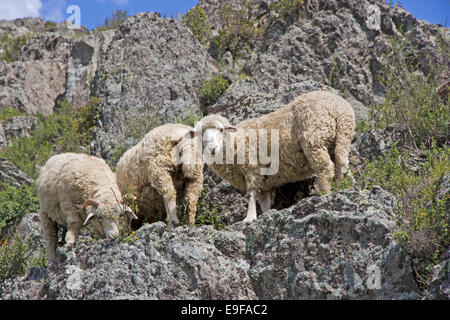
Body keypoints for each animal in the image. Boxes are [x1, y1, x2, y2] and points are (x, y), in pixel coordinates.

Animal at [192, 89, 356, 221]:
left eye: (221, 130)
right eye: (200, 133)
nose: (212, 149)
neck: (235, 142)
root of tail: (339, 108)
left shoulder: (252, 169)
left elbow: (251, 195)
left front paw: (249, 218)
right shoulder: (265, 181)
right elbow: (264, 201)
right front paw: (266, 215)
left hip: (315, 139)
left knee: (325, 167)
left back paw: (325, 192)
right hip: (341, 137)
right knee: (342, 163)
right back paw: (344, 186)